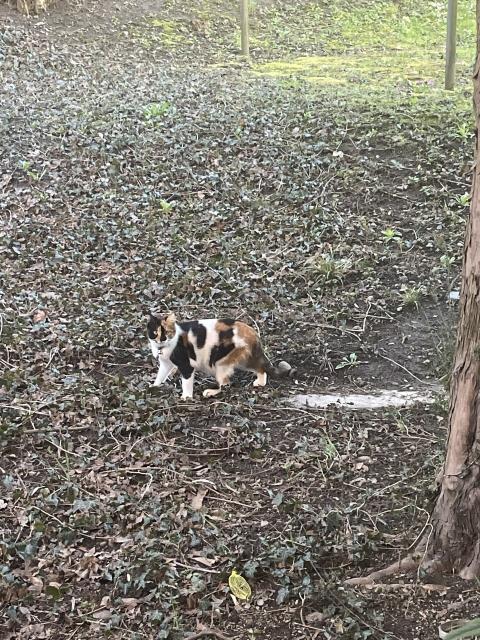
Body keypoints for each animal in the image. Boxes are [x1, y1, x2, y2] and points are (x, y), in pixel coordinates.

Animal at [146, 312, 290, 398]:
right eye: (155, 332)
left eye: (167, 332)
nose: (162, 339)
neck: (162, 348)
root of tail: (252, 332)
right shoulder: (165, 363)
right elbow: (160, 375)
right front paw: (155, 386)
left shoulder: (186, 365)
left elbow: (186, 383)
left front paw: (186, 397)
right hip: (243, 359)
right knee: (259, 368)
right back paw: (260, 383)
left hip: (220, 362)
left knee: (225, 384)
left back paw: (210, 392)